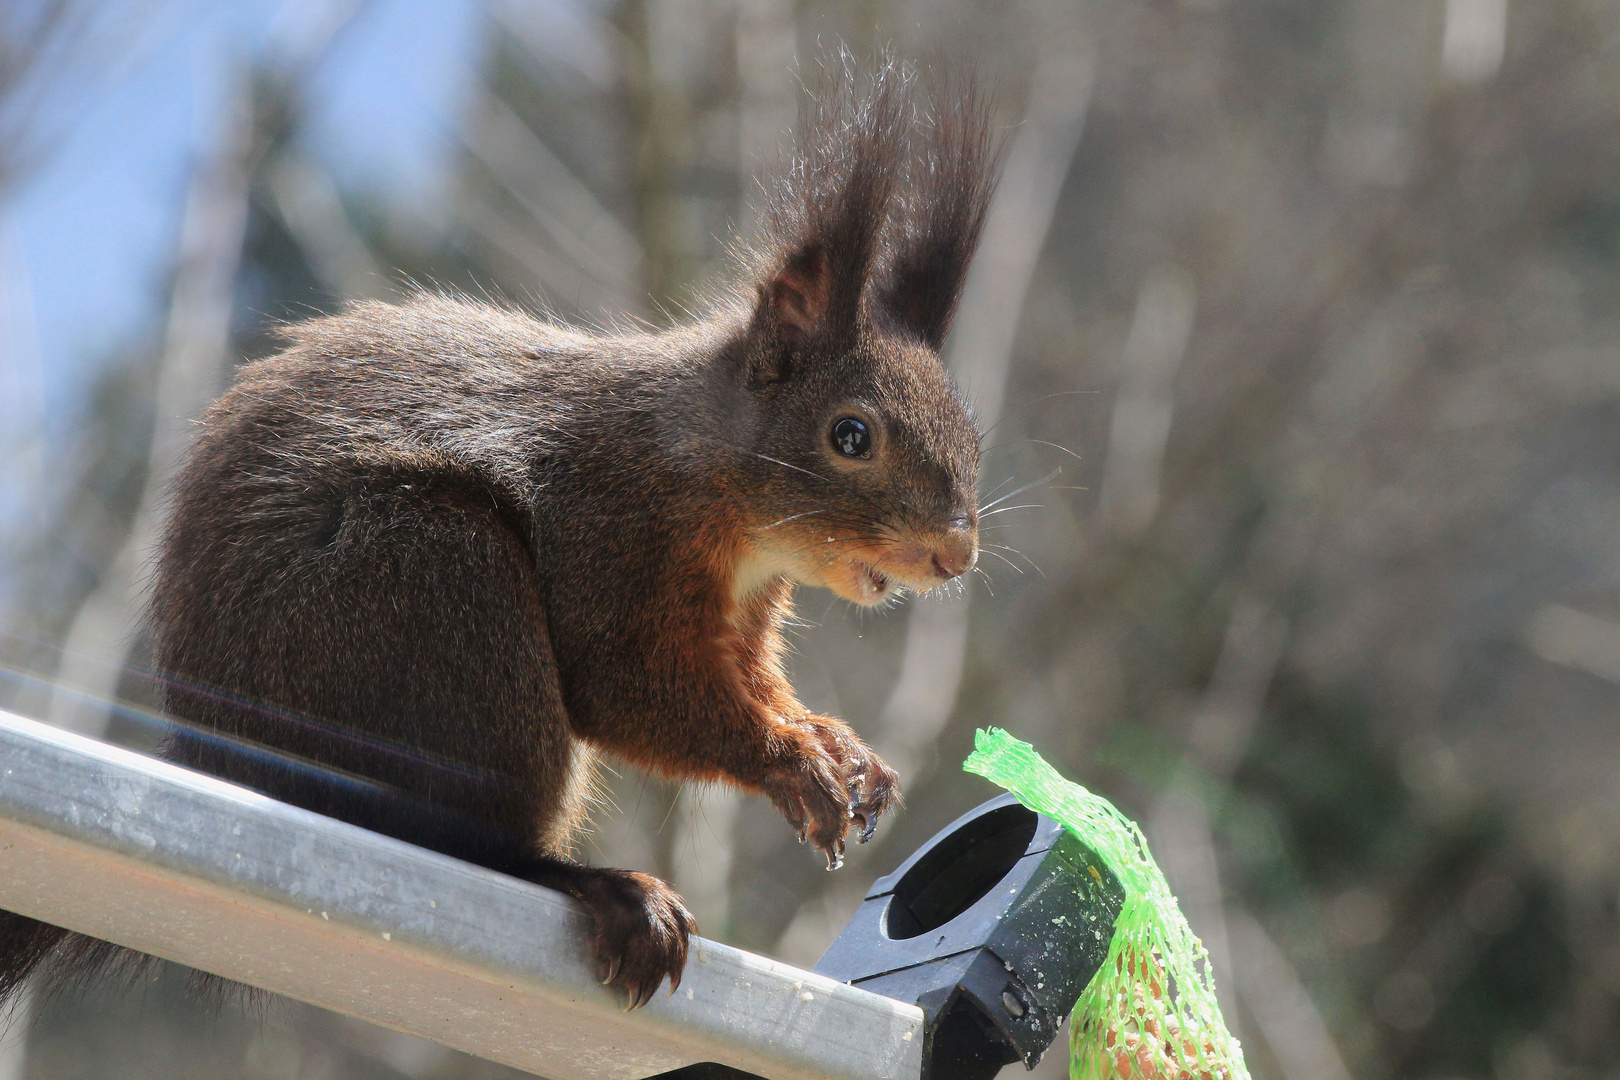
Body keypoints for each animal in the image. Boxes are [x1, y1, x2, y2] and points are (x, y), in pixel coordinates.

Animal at [0, 65, 997, 1016]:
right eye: (851, 435)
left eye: (970, 430)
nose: (955, 556)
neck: (709, 473)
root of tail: (223, 754)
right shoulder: (607, 528)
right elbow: (624, 682)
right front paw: (792, 763)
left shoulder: (741, 614)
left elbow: (754, 682)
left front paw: (839, 747)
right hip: (436, 592)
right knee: (470, 838)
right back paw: (599, 886)